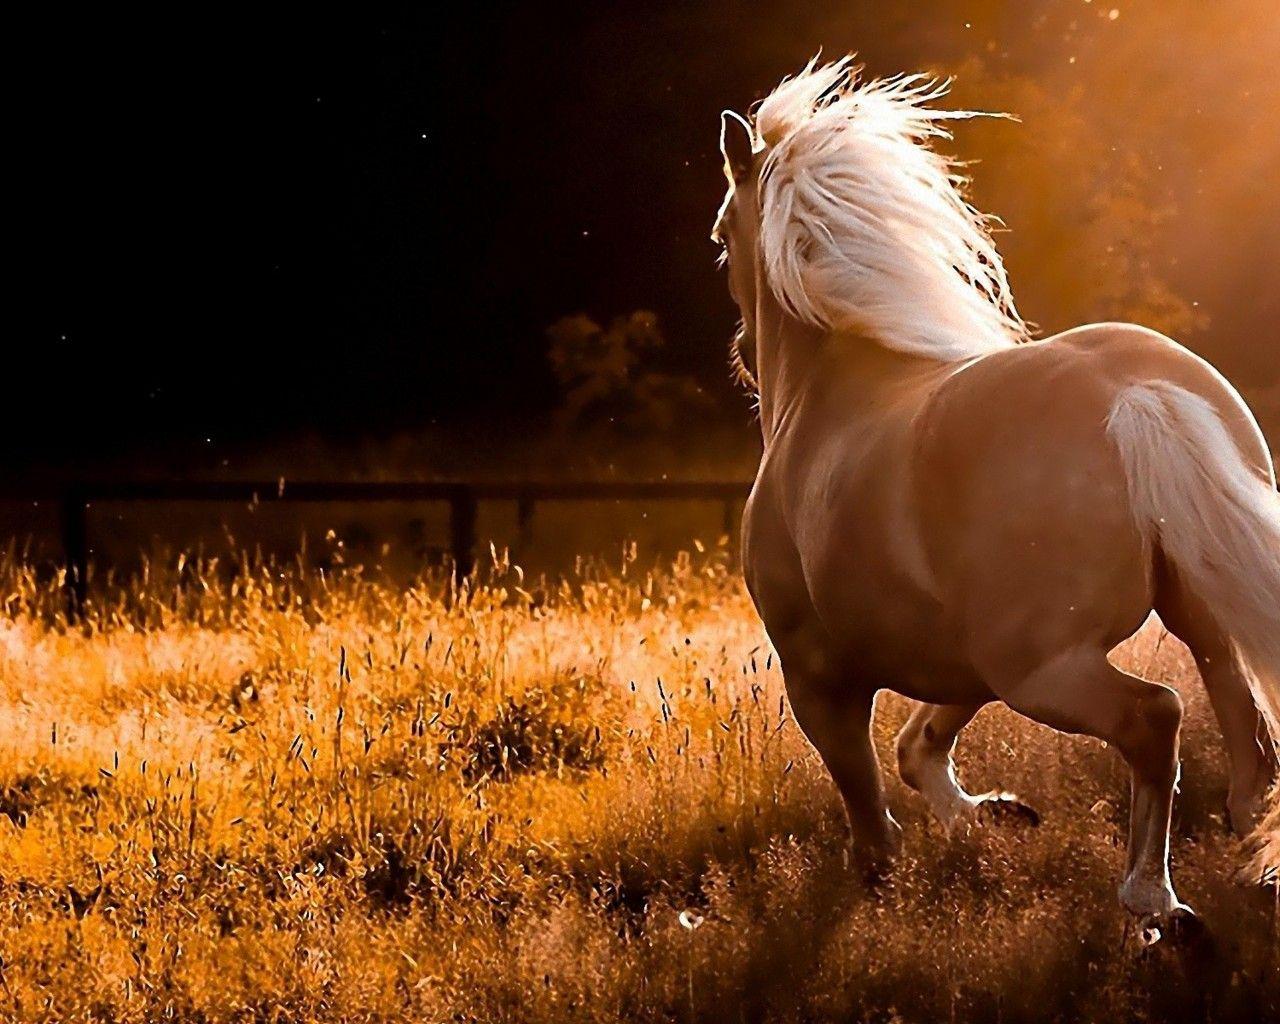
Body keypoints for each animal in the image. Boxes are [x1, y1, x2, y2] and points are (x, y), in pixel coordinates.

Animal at [712, 57, 1280, 926]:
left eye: (720, 238)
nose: (742, 354)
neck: (826, 392)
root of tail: (1134, 394)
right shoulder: (958, 659)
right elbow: (916, 750)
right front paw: (995, 815)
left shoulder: (817, 675)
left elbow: (866, 799)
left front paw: (880, 883)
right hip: (1190, 612)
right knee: (1244, 724)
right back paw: (1248, 857)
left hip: (1043, 670)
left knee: (1157, 717)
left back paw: (1153, 901)